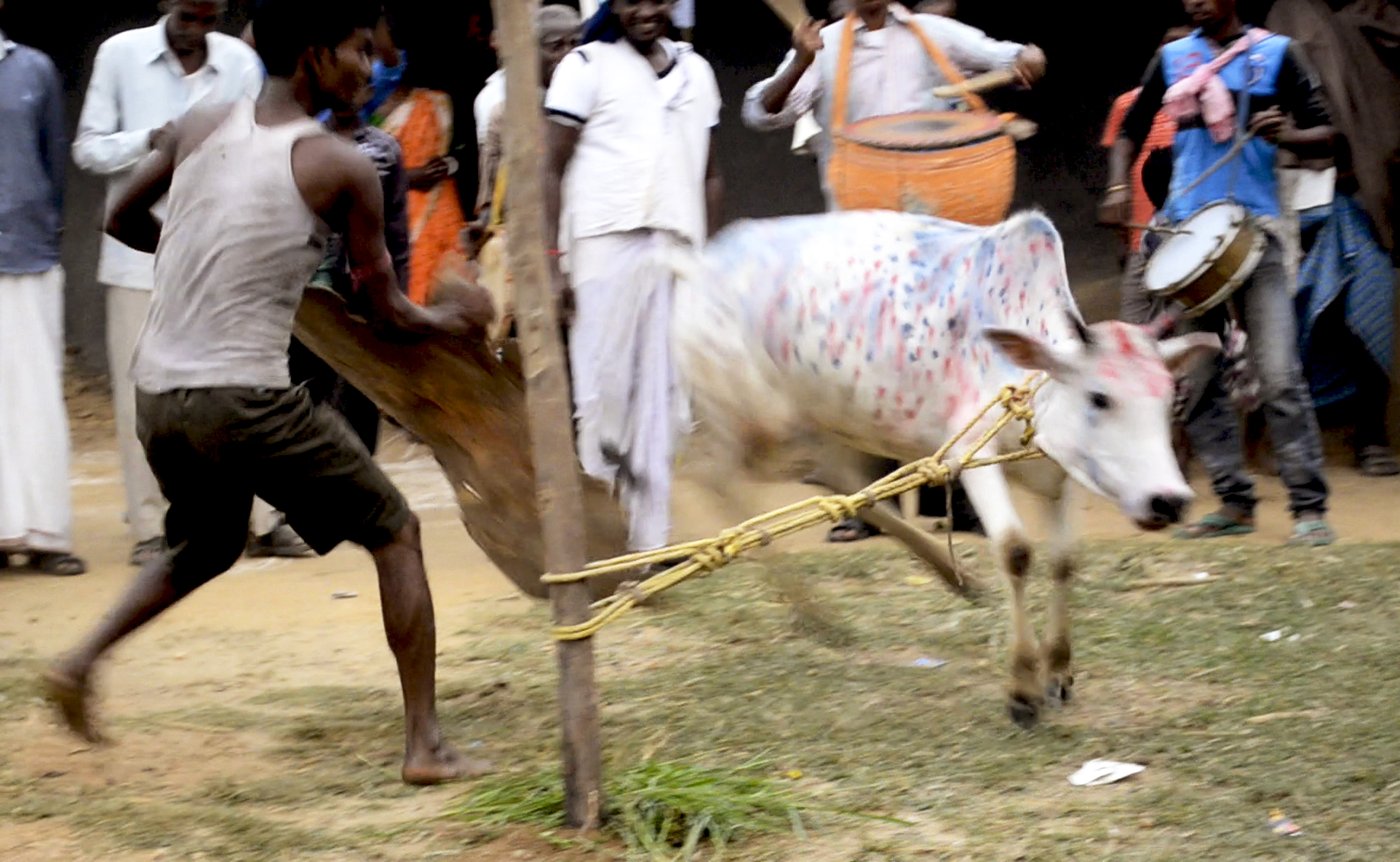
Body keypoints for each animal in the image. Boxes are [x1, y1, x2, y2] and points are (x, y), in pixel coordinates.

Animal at [672, 209, 1220, 727]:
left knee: (837, 483)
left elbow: (1065, 560)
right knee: (717, 480)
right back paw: (813, 610)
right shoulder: (972, 455)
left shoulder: (1059, 471)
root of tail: (700, 265)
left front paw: (1059, 671)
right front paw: (1022, 689)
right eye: (1099, 397)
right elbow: (1016, 551)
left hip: (816, 421)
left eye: (1168, 397)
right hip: (750, 419)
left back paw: (953, 576)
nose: (1169, 500)